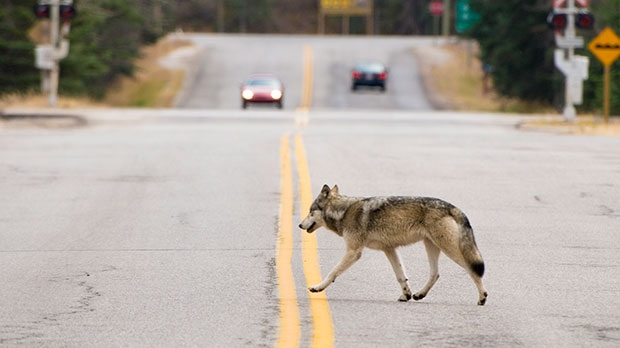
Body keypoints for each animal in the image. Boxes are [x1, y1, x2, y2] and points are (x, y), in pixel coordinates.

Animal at [300, 185, 490, 304]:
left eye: (310, 212)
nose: (300, 225)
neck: (344, 212)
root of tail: (452, 207)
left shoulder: (354, 252)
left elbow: (333, 272)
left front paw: (317, 287)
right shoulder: (389, 249)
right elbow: (401, 276)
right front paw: (406, 295)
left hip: (449, 249)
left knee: (473, 270)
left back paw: (482, 298)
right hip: (431, 246)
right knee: (435, 274)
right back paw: (419, 294)